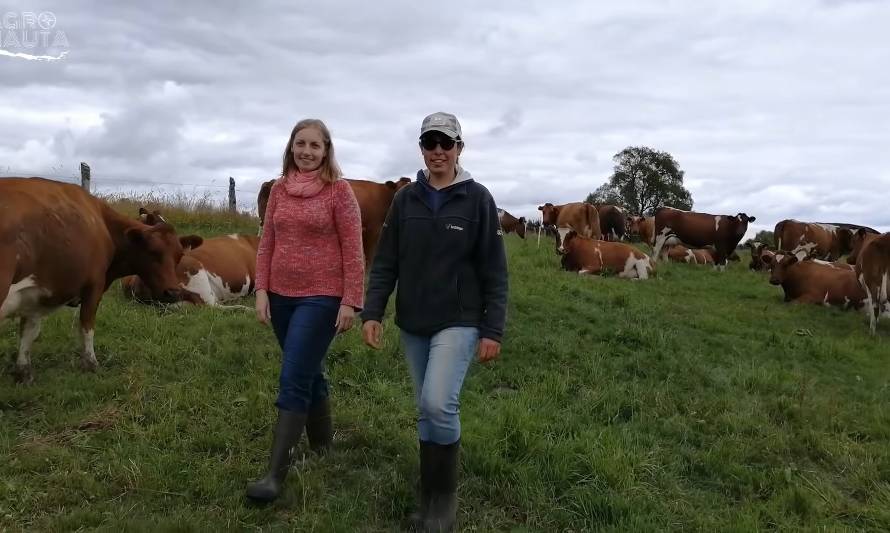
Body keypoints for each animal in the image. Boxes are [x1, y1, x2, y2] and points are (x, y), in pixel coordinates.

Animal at [0, 179, 202, 382]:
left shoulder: (37, 293)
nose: (173, 292)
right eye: (153, 252)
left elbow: (29, 331)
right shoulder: (94, 285)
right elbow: (87, 326)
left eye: (179, 255)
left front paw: (23, 371)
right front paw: (91, 363)